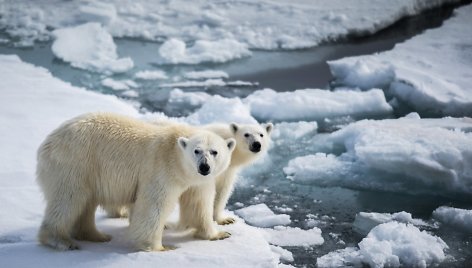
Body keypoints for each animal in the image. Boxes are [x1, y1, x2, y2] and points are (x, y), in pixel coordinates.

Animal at [37, 113, 236, 251]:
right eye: (197, 151)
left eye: (214, 151)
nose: (204, 167)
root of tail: (47, 143)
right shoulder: (161, 168)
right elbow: (153, 205)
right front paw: (160, 247)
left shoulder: (196, 182)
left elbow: (199, 204)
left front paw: (219, 234)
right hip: (74, 162)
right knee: (68, 199)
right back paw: (61, 240)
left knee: (85, 203)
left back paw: (96, 236)